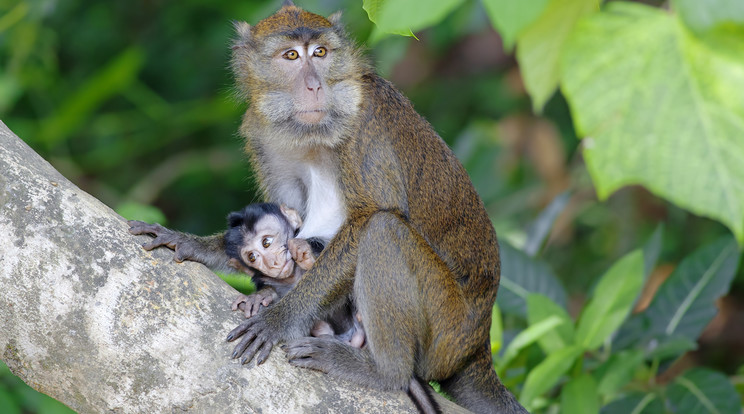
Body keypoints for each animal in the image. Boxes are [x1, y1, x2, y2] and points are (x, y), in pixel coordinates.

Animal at [224, 1, 528, 412]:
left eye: (320, 52)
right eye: (291, 56)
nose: (314, 85)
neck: (312, 135)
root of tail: (476, 349)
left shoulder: (364, 124)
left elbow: (368, 217)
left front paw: (279, 318)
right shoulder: (262, 133)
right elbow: (286, 218)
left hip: (445, 331)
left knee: (383, 231)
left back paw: (385, 373)